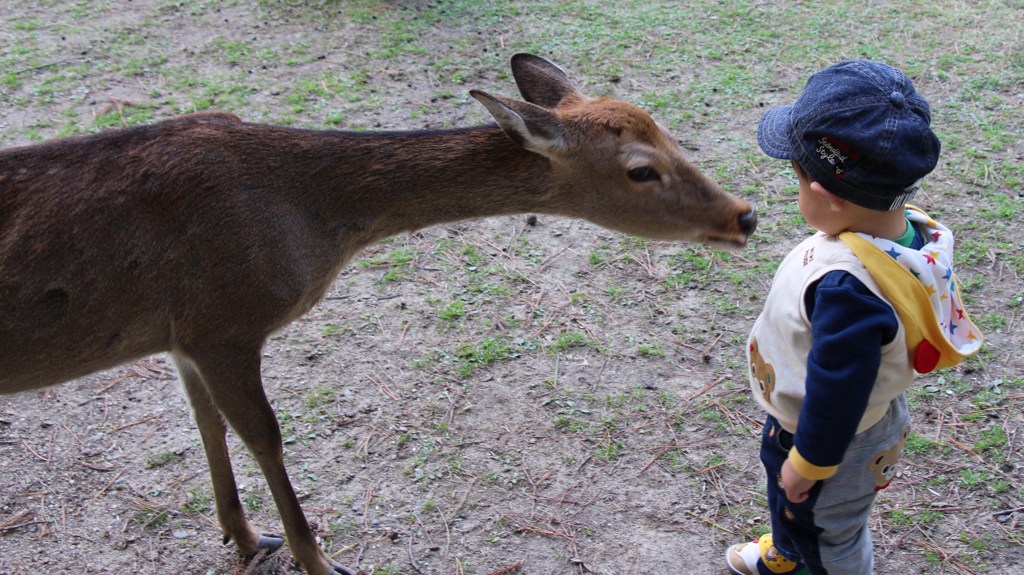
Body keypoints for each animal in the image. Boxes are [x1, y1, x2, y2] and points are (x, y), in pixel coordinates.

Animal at [0, 54, 753, 572]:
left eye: (671, 133)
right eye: (640, 169)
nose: (743, 214)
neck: (309, 218)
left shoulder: (181, 334)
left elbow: (206, 423)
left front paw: (244, 537)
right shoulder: (224, 320)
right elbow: (266, 436)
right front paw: (318, 558)